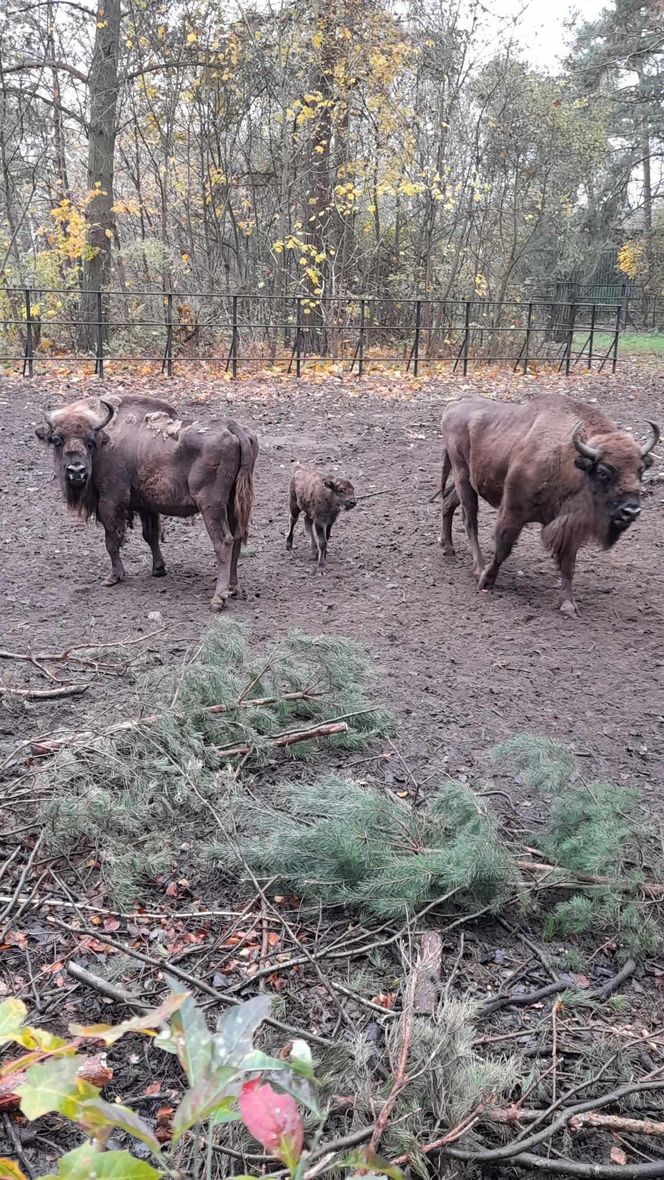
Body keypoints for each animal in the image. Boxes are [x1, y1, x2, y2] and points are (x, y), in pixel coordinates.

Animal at [35, 394, 259, 613]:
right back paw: (233, 588)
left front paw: (114, 577)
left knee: (223, 541)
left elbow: (111, 540)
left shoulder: (110, 501)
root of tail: (231, 427)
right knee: (237, 537)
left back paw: (218, 599)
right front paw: (158, 569)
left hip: (211, 505)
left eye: (90, 441)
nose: (76, 471)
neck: (105, 440)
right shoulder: (147, 506)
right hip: (232, 503)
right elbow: (150, 535)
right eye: (57, 440)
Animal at [438, 396, 660, 618]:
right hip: (462, 476)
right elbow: (503, 547)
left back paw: (448, 547)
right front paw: (486, 580)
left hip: (468, 482)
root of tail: (452, 406)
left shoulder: (570, 528)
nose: (631, 511)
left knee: (448, 501)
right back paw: (478, 568)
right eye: (603, 472)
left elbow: (568, 564)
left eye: (641, 470)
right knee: (470, 521)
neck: (569, 461)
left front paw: (568, 605)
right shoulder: (513, 512)